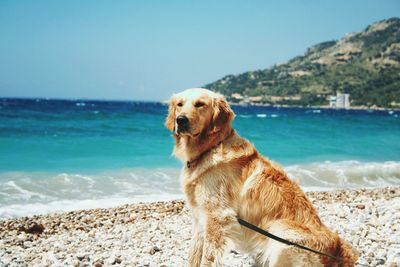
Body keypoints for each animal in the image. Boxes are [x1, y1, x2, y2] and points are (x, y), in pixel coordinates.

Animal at [164, 89, 358, 266]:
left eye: (200, 104)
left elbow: (207, 258)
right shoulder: (200, 218)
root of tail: (338, 253)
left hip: (282, 233)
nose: (180, 120)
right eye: (180, 104)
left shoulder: (218, 218)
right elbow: (193, 255)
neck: (210, 148)